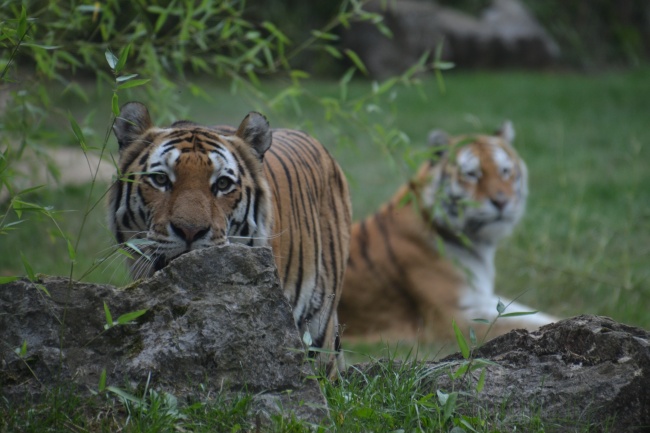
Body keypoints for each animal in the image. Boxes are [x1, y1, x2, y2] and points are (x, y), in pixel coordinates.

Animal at [336, 121, 556, 344]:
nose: (501, 202)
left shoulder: (481, 297)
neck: (478, 243)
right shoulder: (452, 317)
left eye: (504, 171)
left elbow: (536, 314)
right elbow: (524, 321)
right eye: (471, 174)